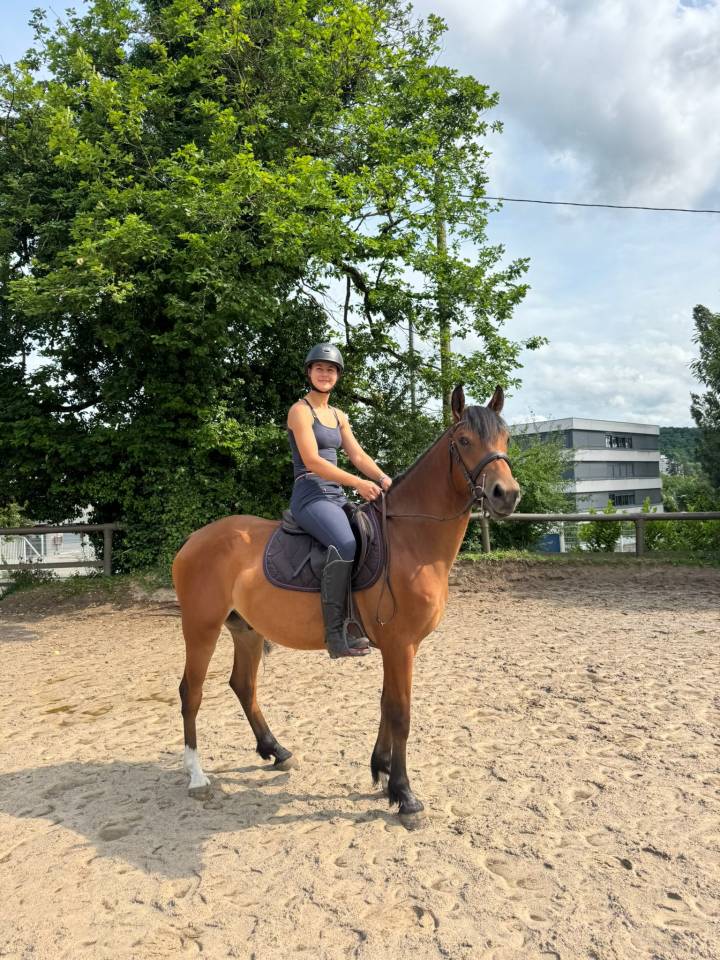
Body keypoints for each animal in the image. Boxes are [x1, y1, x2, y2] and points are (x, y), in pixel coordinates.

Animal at [172, 384, 521, 827]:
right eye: (463, 441)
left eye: (504, 438)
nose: (506, 494)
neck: (411, 539)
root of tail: (193, 540)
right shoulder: (400, 645)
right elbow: (401, 712)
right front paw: (405, 795)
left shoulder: (398, 648)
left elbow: (386, 704)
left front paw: (383, 772)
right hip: (201, 627)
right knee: (192, 691)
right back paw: (197, 776)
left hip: (246, 630)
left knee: (243, 686)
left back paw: (276, 751)